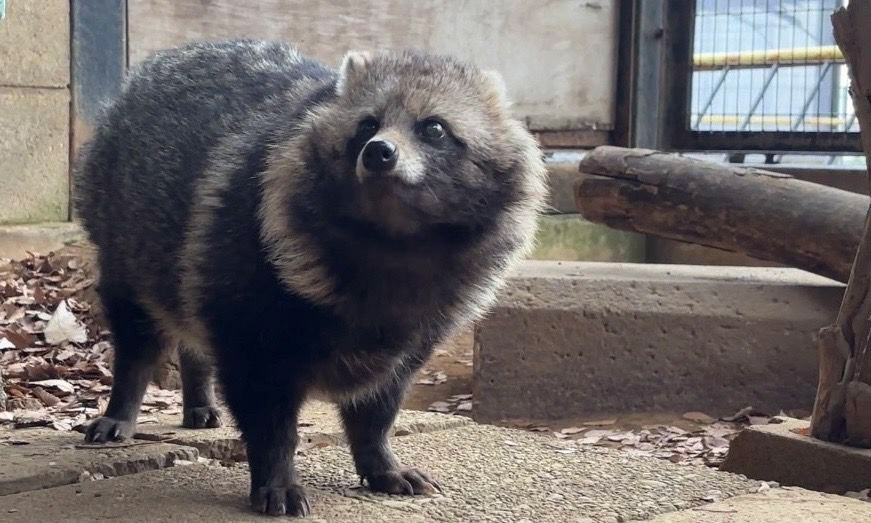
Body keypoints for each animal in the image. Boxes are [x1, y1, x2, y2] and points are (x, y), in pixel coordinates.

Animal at [78, 40, 548, 516]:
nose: (379, 151)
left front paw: (378, 455)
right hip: (121, 226)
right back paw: (125, 400)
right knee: (138, 329)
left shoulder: (423, 320)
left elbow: (382, 396)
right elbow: (264, 400)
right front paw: (277, 471)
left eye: (433, 128)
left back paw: (198, 392)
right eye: (368, 124)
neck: (394, 239)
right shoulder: (249, 268)